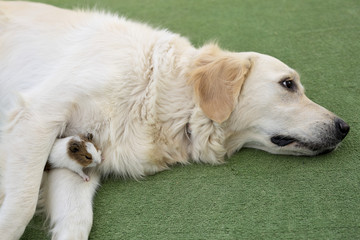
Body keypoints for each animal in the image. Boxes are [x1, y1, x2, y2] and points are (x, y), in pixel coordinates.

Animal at [0, 0, 348, 239]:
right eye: (288, 84)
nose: (344, 127)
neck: (159, 91)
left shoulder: (79, 156)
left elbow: (76, 221)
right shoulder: (38, 116)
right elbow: (21, 208)